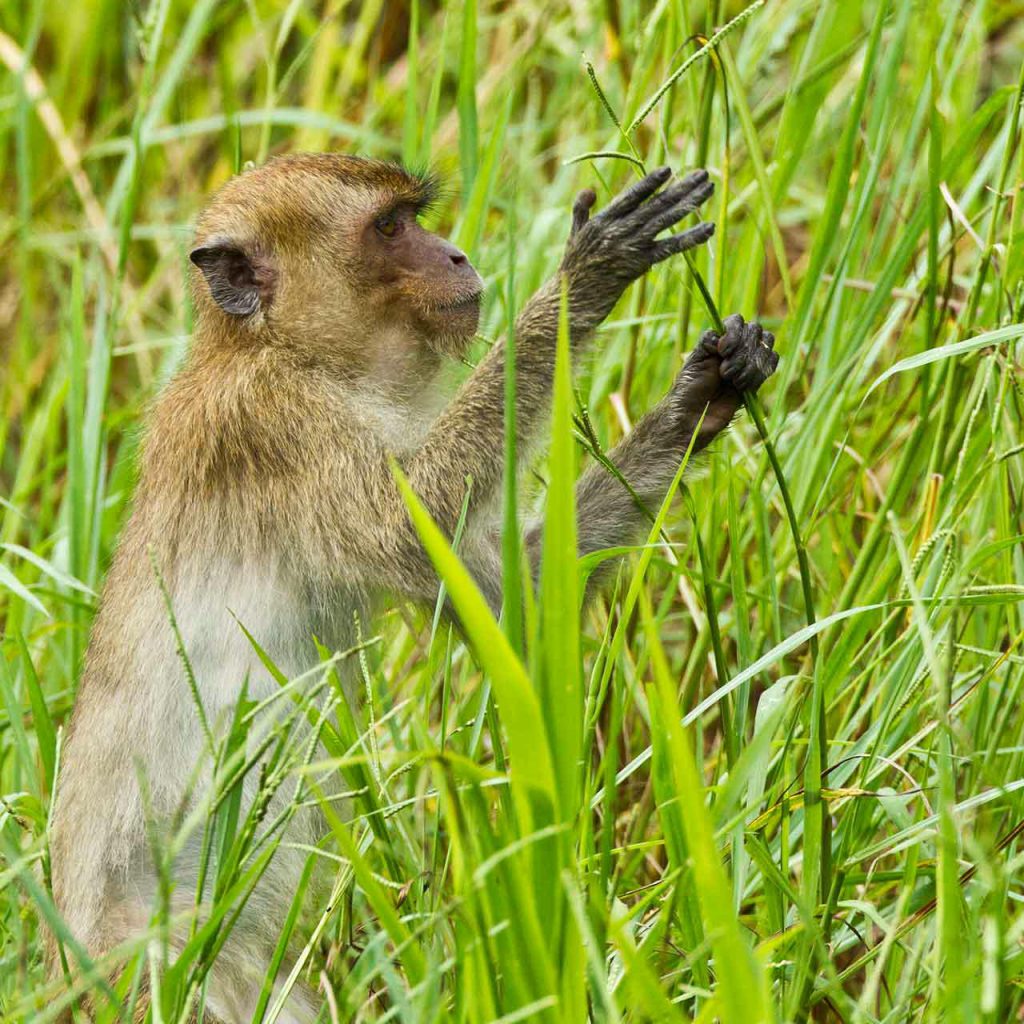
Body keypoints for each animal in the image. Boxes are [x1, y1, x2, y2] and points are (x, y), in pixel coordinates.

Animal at [48, 155, 778, 1022]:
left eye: (414, 218)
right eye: (391, 228)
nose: (457, 255)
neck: (279, 349)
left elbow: (518, 598)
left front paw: (701, 394)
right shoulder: (278, 423)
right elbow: (408, 520)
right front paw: (586, 277)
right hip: (156, 968)